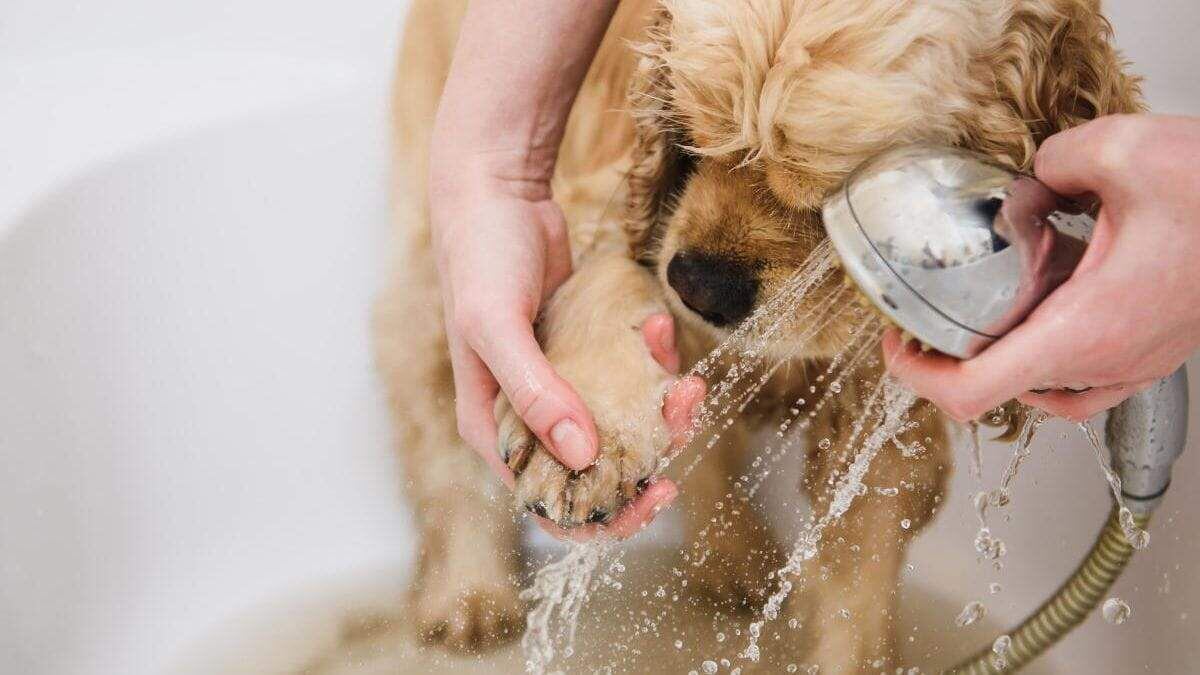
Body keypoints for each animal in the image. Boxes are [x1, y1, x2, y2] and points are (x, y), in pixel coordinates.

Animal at [372, 1, 1132, 667]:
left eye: (836, 191)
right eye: (690, 130)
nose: (698, 284)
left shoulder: (885, 402)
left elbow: (858, 572)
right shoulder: (608, 204)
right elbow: (607, 278)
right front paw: (584, 448)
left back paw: (734, 562)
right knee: (442, 437)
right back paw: (469, 596)